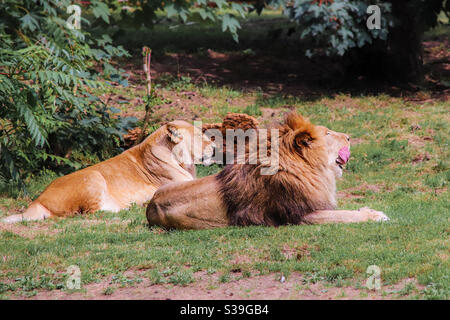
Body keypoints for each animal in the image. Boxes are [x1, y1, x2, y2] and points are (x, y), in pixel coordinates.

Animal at [146, 111, 388, 229]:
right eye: (328, 133)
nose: (348, 136)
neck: (308, 169)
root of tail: (149, 207)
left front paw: (368, 209)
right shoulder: (300, 215)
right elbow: (344, 215)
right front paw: (375, 215)